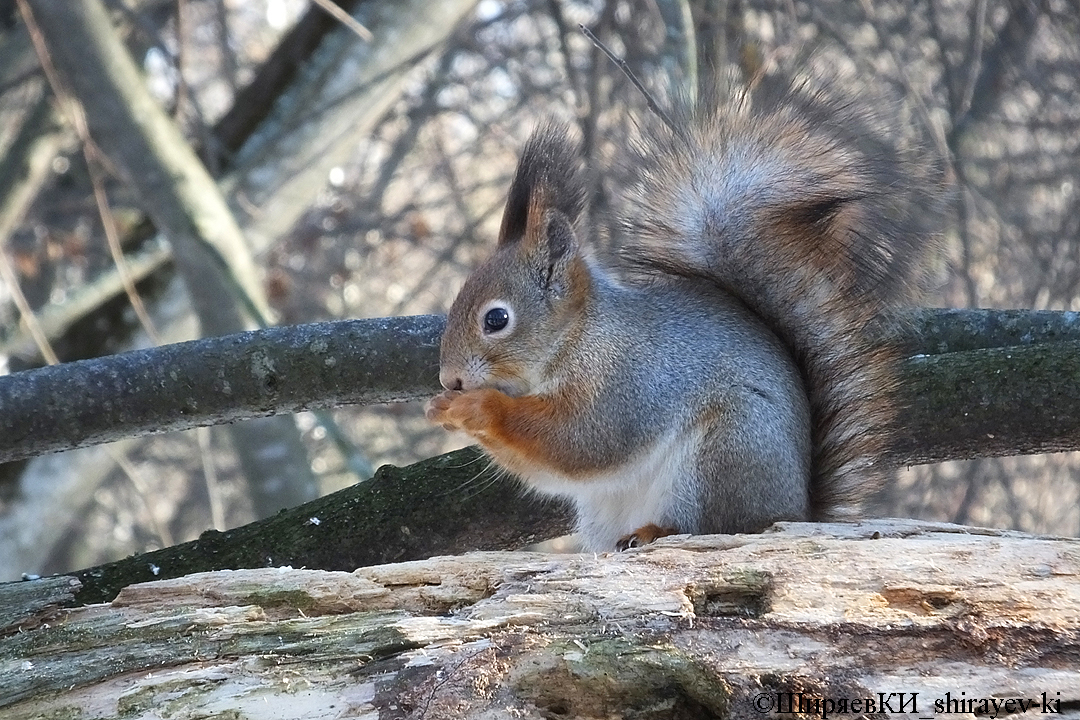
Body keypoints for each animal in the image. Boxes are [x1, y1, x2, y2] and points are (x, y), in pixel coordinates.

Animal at [425, 78, 941, 552]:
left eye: (496, 320)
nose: (451, 379)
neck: (578, 337)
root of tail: (794, 509)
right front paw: (441, 408)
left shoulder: (628, 383)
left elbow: (581, 439)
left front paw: (475, 407)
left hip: (721, 454)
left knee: (714, 524)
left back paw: (657, 531)